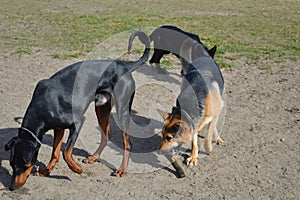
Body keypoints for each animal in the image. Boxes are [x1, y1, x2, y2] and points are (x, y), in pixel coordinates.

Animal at [4, 30, 150, 191]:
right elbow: (55, 153)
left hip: (122, 111)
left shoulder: (78, 122)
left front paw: (76, 169)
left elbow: (66, 152)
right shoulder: (59, 128)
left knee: (127, 143)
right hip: (101, 108)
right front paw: (46, 171)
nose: (11, 187)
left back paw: (121, 170)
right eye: (12, 164)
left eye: (24, 165)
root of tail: (125, 66)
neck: (42, 107)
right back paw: (94, 157)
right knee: (106, 135)